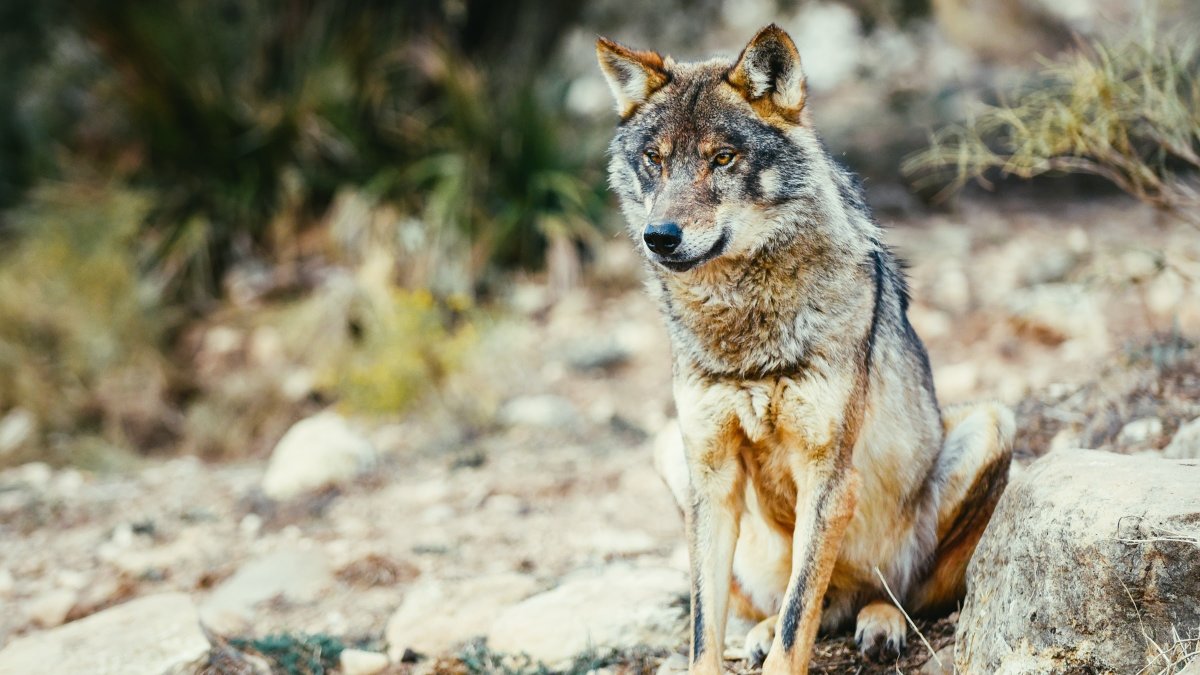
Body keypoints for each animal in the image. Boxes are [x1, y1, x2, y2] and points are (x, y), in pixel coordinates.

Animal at [595, 23, 1017, 667]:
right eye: (655, 161)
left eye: (722, 158)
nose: (658, 237)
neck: (744, 328)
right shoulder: (711, 476)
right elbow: (705, 631)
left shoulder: (829, 476)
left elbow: (800, 623)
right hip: (672, 452)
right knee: (788, 604)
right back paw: (765, 633)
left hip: (991, 424)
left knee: (905, 594)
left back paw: (881, 622)